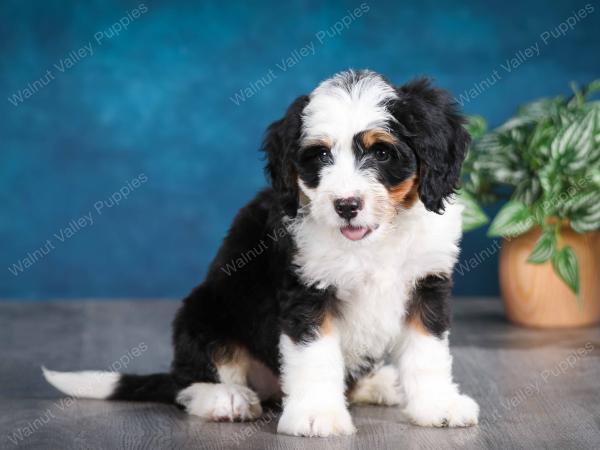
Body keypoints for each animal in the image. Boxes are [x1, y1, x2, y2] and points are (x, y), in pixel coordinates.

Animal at [43, 69, 478, 436]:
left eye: (383, 154)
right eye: (321, 156)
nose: (346, 205)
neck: (374, 241)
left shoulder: (427, 284)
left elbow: (428, 353)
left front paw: (438, 406)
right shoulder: (306, 292)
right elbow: (316, 356)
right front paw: (317, 415)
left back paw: (381, 383)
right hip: (203, 313)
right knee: (188, 383)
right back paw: (226, 399)